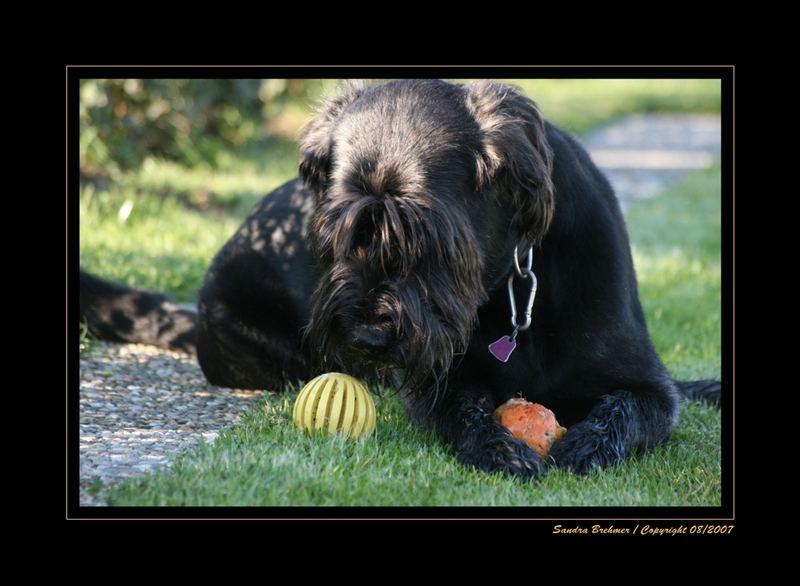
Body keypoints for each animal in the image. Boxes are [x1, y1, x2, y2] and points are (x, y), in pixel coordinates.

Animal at [81, 80, 720, 476]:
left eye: (427, 238)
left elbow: (631, 410)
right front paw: (501, 451)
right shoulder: (440, 382)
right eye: (341, 232)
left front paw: (585, 445)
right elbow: (462, 413)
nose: (367, 337)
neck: (511, 285)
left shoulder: (644, 384)